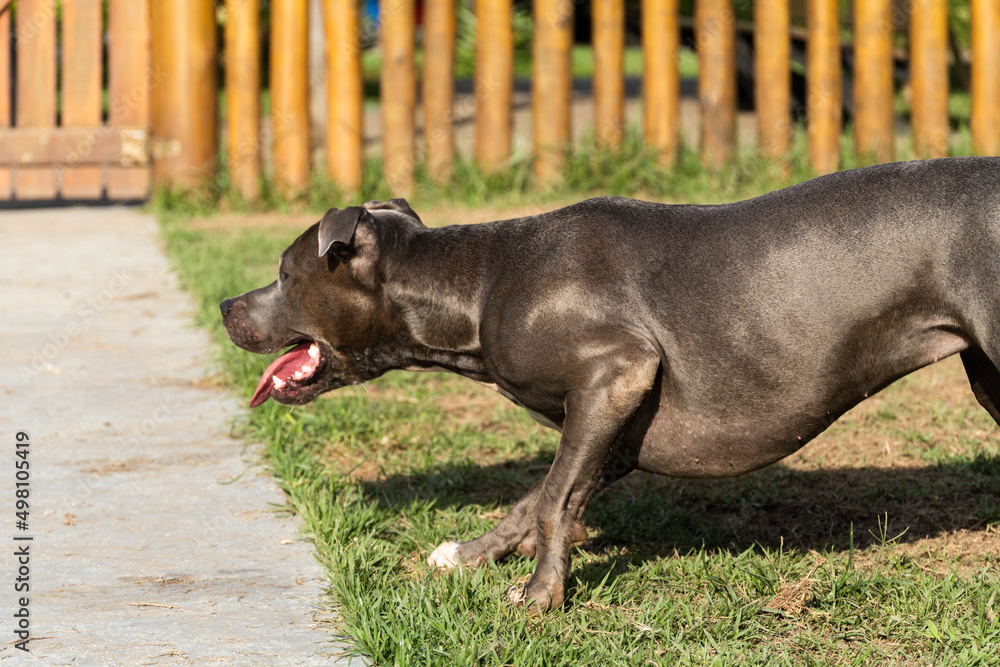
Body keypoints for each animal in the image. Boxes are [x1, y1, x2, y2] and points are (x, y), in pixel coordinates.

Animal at [221, 157, 1000, 612]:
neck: (478, 285)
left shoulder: (614, 376)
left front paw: (539, 596)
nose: (228, 305)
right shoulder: (614, 424)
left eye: (284, 273)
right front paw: (469, 555)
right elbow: (538, 496)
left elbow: (553, 498)